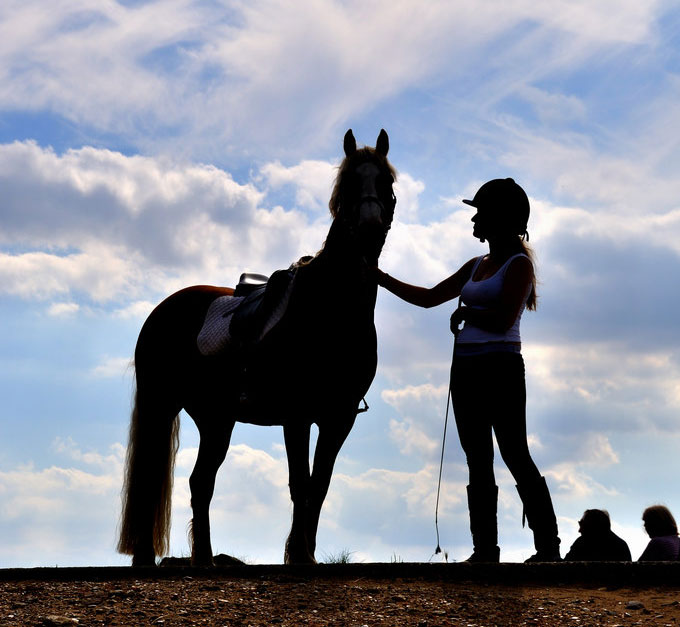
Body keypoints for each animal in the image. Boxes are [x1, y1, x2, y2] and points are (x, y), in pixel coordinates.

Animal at [114, 129, 396, 568]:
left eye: (387, 182)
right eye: (349, 183)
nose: (368, 228)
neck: (331, 306)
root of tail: (162, 310)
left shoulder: (339, 417)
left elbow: (320, 485)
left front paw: (305, 554)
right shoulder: (297, 416)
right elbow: (301, 483)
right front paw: (299, 555)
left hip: (216, 419)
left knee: (201, 482)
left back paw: (205, 559)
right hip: (163, 405)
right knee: (152, 474)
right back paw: (147, 558)